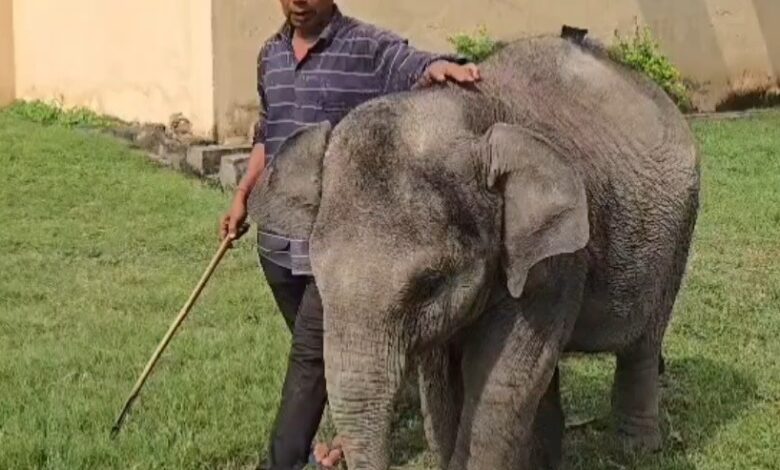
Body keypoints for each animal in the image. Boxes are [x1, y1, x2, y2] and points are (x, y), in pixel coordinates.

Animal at [248, 33, 700, 470]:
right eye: (318, 282)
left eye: (430, 283)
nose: (329, 455)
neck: (469, 113)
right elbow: (442, 379)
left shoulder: (557, 259)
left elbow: (500, 378)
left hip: (679, 227)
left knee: (642, 342)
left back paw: (637, 452)